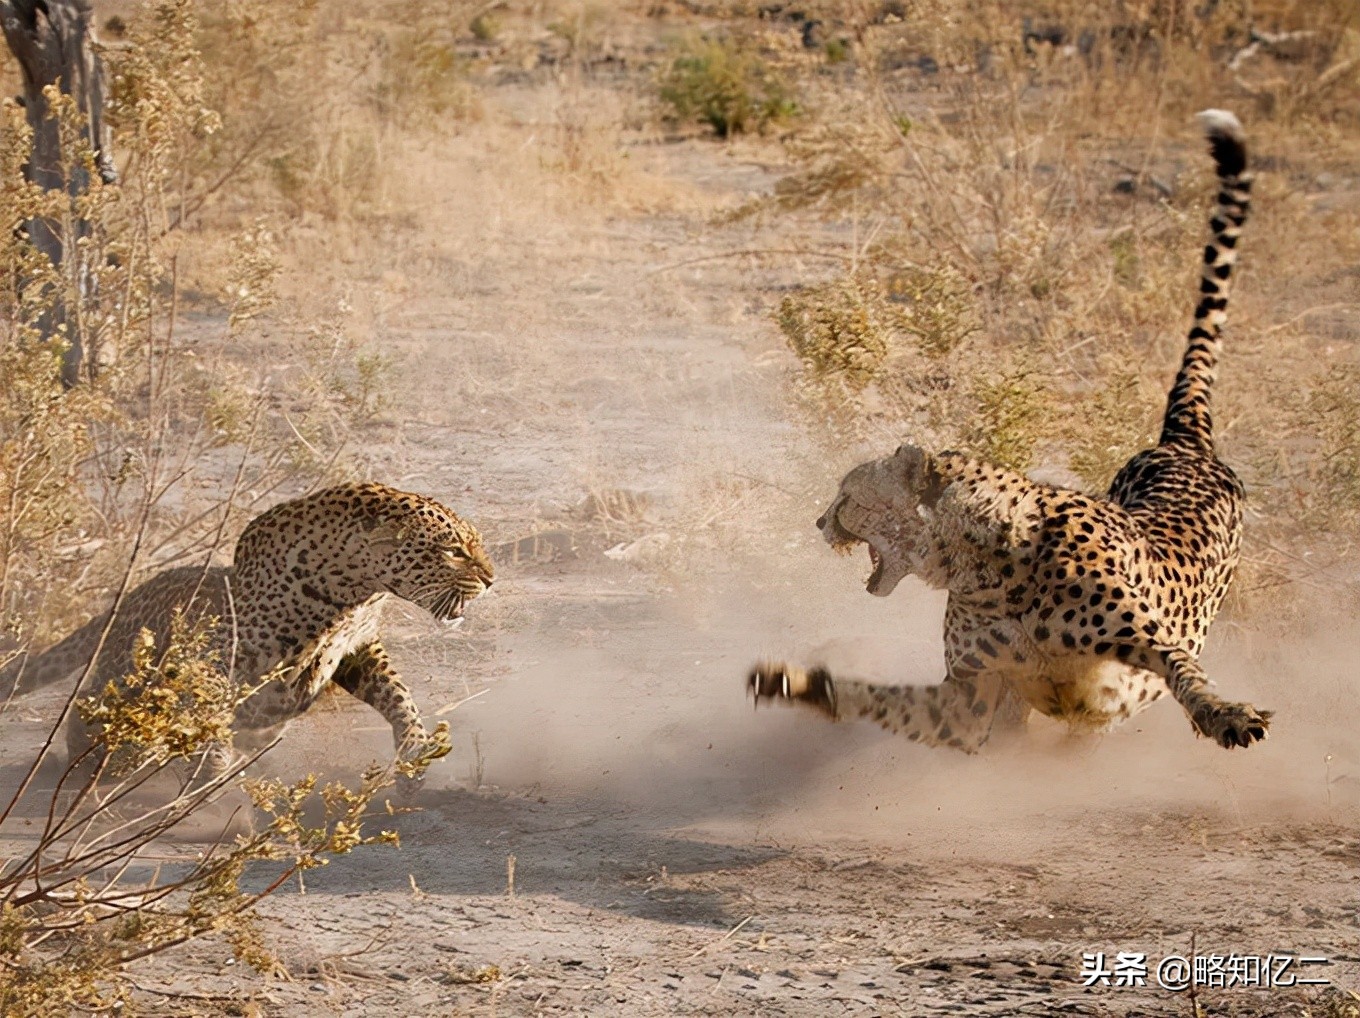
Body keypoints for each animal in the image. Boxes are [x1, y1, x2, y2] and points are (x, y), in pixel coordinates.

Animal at [0, 483, 500, 777]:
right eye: (454, 551)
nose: (492, 579)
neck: (351, 589)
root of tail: (127, 598)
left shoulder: (356, 646)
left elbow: (396, 693)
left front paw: (414, 748)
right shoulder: (216, 652)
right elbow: (208, 711)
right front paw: (214, 773)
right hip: (121, 681)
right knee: (94, 716)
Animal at [750, 111, 1267, 750]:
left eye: (848, 494)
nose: (820, 522)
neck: (989, 565)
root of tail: (1182, 442)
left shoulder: (1143, 643)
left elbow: (1182, 668)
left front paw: (1225, 714)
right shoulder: (969, 703)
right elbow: (881, 698)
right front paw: (797, 684)